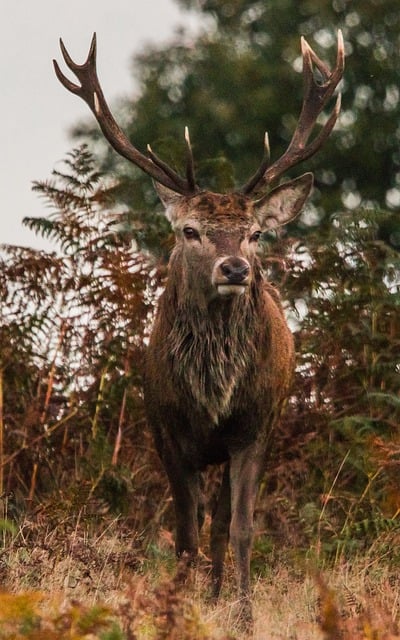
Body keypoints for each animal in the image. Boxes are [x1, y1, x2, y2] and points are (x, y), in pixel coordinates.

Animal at [54, 30, 344, 624]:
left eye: (255, 233)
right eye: (190, 230)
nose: (234, 269)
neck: (212, 392)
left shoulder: (254, 428)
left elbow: (239, 529)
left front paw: (245, 614)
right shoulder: (167, 430)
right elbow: (184, 531)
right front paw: (176, 608)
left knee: (221, 525)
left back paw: (218, 594)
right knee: (203, 523)